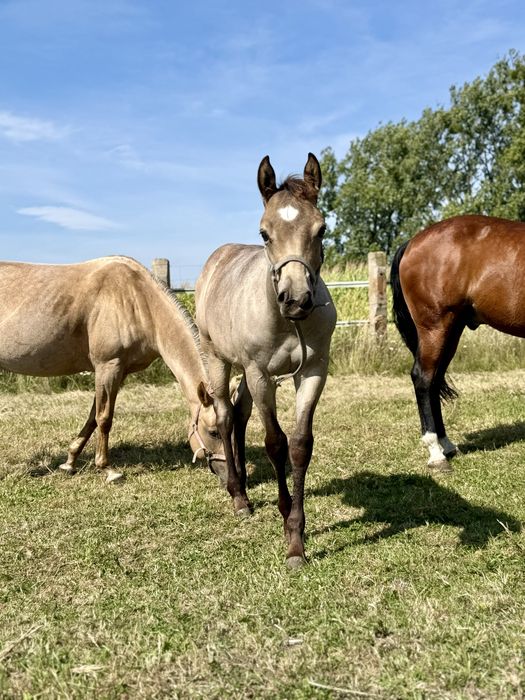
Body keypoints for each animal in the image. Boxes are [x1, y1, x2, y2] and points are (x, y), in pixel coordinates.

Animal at [0, 256, 224, 482]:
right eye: (213, 432)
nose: (225, 473)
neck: (139, 300)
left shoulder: (118, 372)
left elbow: (93, 418)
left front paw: (70, 462)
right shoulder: (109, 366)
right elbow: (104, 419)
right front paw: (107, 469)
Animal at [195, 153, 337, 567]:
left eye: (321, 229)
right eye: (264, 233)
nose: (297, 299)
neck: (289, 324)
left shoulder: (313, 372)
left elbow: (300, 444)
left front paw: (297, 537)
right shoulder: (260, 374)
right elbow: (275, 443)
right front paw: (285, 517)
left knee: (240, 415)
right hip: (218, 360)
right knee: (226, 416)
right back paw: (238, 495)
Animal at [391, 213, 525, 470]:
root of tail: (412, 242)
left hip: (451, 330)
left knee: (434, 379)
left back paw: (446, 444)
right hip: (435, 327)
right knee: (423, 378)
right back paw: (435, 452)